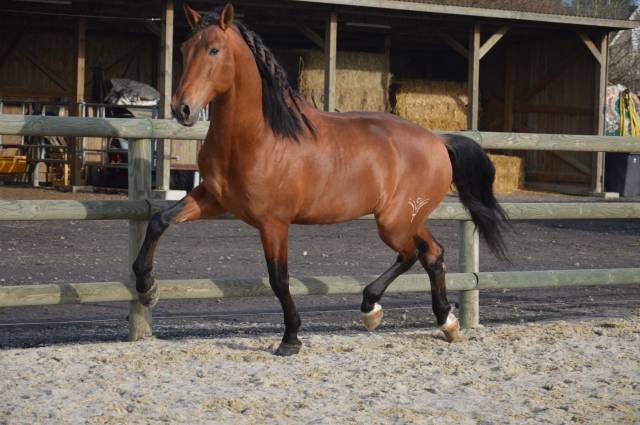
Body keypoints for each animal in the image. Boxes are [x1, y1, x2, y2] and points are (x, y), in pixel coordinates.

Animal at [133, 3, 507, 356]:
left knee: (414, 253)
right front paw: (147, 288)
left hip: (395, 221)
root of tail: (438, 141)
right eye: (184, 49)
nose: (182, 109)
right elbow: (159, 220)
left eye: (214, 50)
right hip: (407, 218)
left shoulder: (273, 222)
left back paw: (380, 309)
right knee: (431, 253)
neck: (260, 137)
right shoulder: (212, 198)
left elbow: (279, 278)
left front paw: (290, 339)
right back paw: (438, 321)